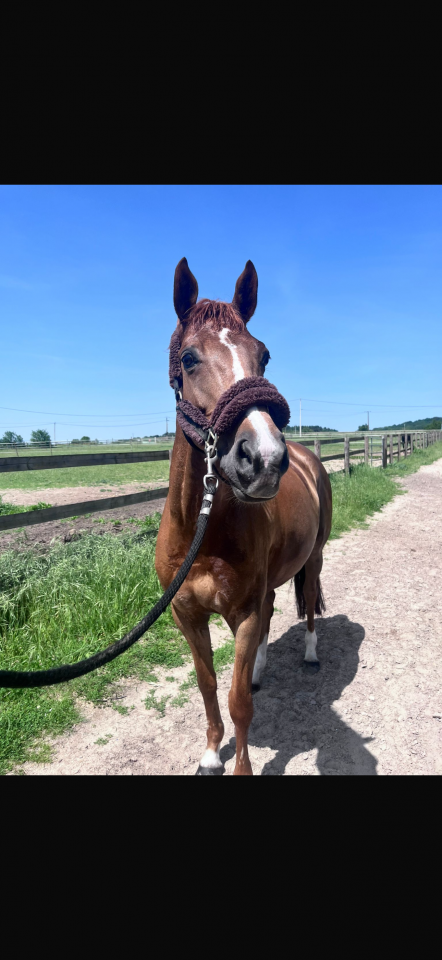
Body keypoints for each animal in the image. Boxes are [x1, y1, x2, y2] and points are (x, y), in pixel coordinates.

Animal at [155, 258, 332, 775]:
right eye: (188, 358)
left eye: (264, 356)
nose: (265, 459)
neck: (202, 535)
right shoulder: (187, 615)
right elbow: (209, 685)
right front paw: (211, 753)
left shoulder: (244, 614)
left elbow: (238, 702)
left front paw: (240, 767)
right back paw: (260, 668)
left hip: (314, 557)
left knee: (308, 601)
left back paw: (309, 655)